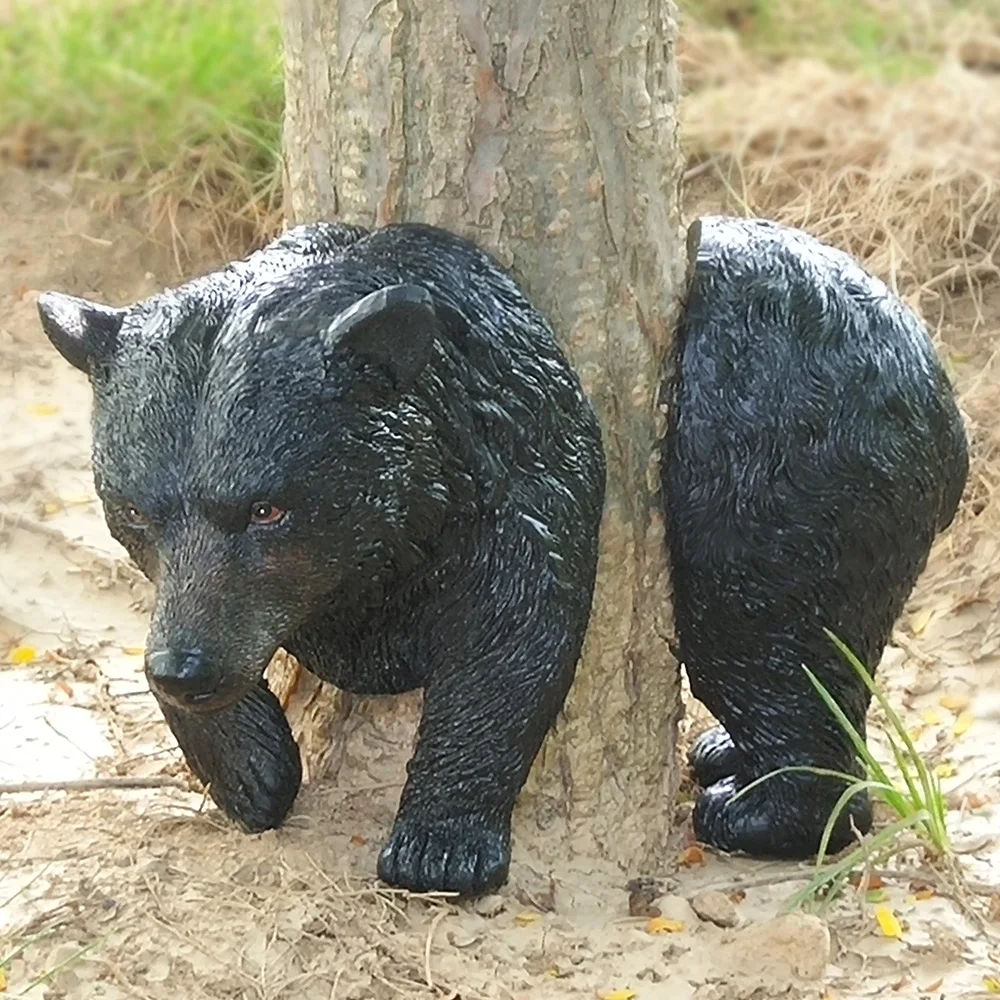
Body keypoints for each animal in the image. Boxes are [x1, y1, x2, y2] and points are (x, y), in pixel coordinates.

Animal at [37, 221, 606, 896]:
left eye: (266, 509)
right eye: (134, 511)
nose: (185, 672)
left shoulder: (518, 479)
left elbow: (511, 642)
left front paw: (441, 844)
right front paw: (251, 769)